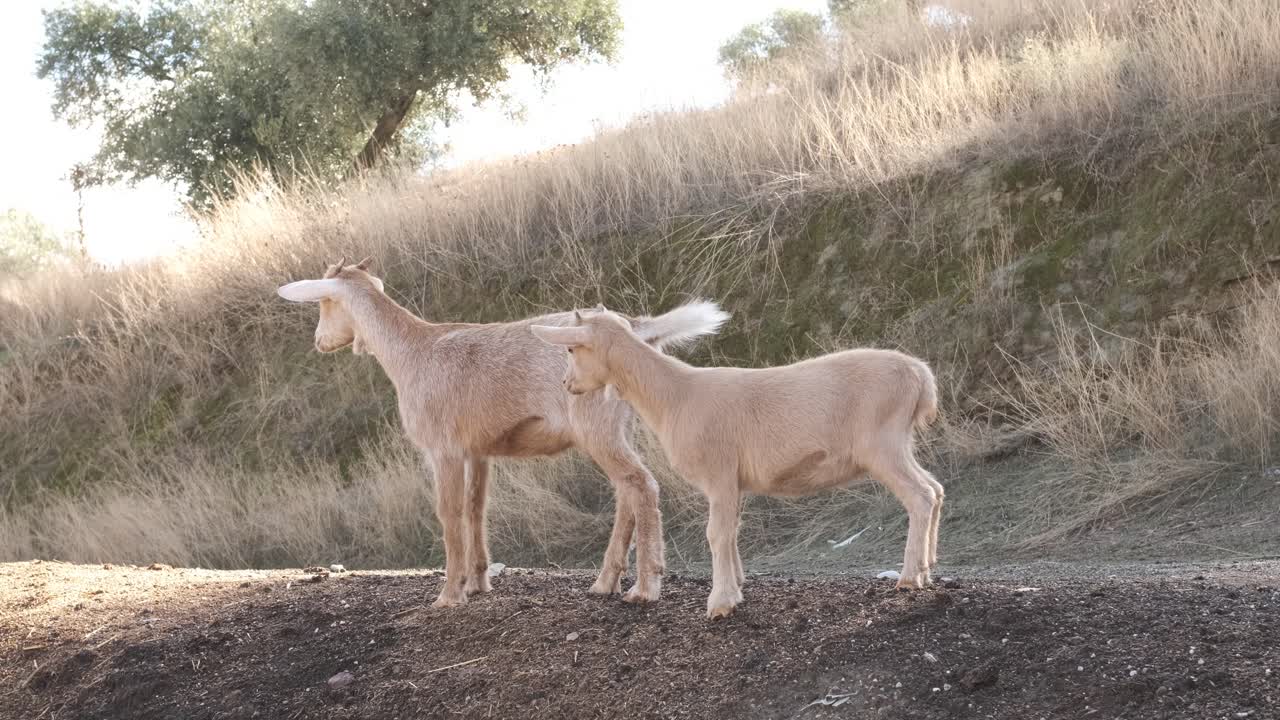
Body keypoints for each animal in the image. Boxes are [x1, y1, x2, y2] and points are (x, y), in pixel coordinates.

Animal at [277, 259, 727, 608]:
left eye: (324, 302)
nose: (319, 341)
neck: (410, 353)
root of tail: (638, 329)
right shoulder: (478, 449)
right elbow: (476, 508)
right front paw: (477, 582)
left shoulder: (442, 448)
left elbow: (449, 512)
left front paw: (448, 594)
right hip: (617, 422)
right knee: (626, 492)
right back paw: (604, 582)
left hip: (595, 421)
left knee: (642, 485)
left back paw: (646, 587)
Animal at [532, 306, 942, 619]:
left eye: (572, 349)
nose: (567, 384)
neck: (674, 397)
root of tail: (921, 376)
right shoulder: (733, 480)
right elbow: (730, 533)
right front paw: (736, 587)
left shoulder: (718, 472)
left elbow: (715, 533)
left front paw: (720, 603)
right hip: (899, 443)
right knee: (935, 488)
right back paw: (928, 566)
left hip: (882, 444)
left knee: (920, 496)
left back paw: (909, 577)